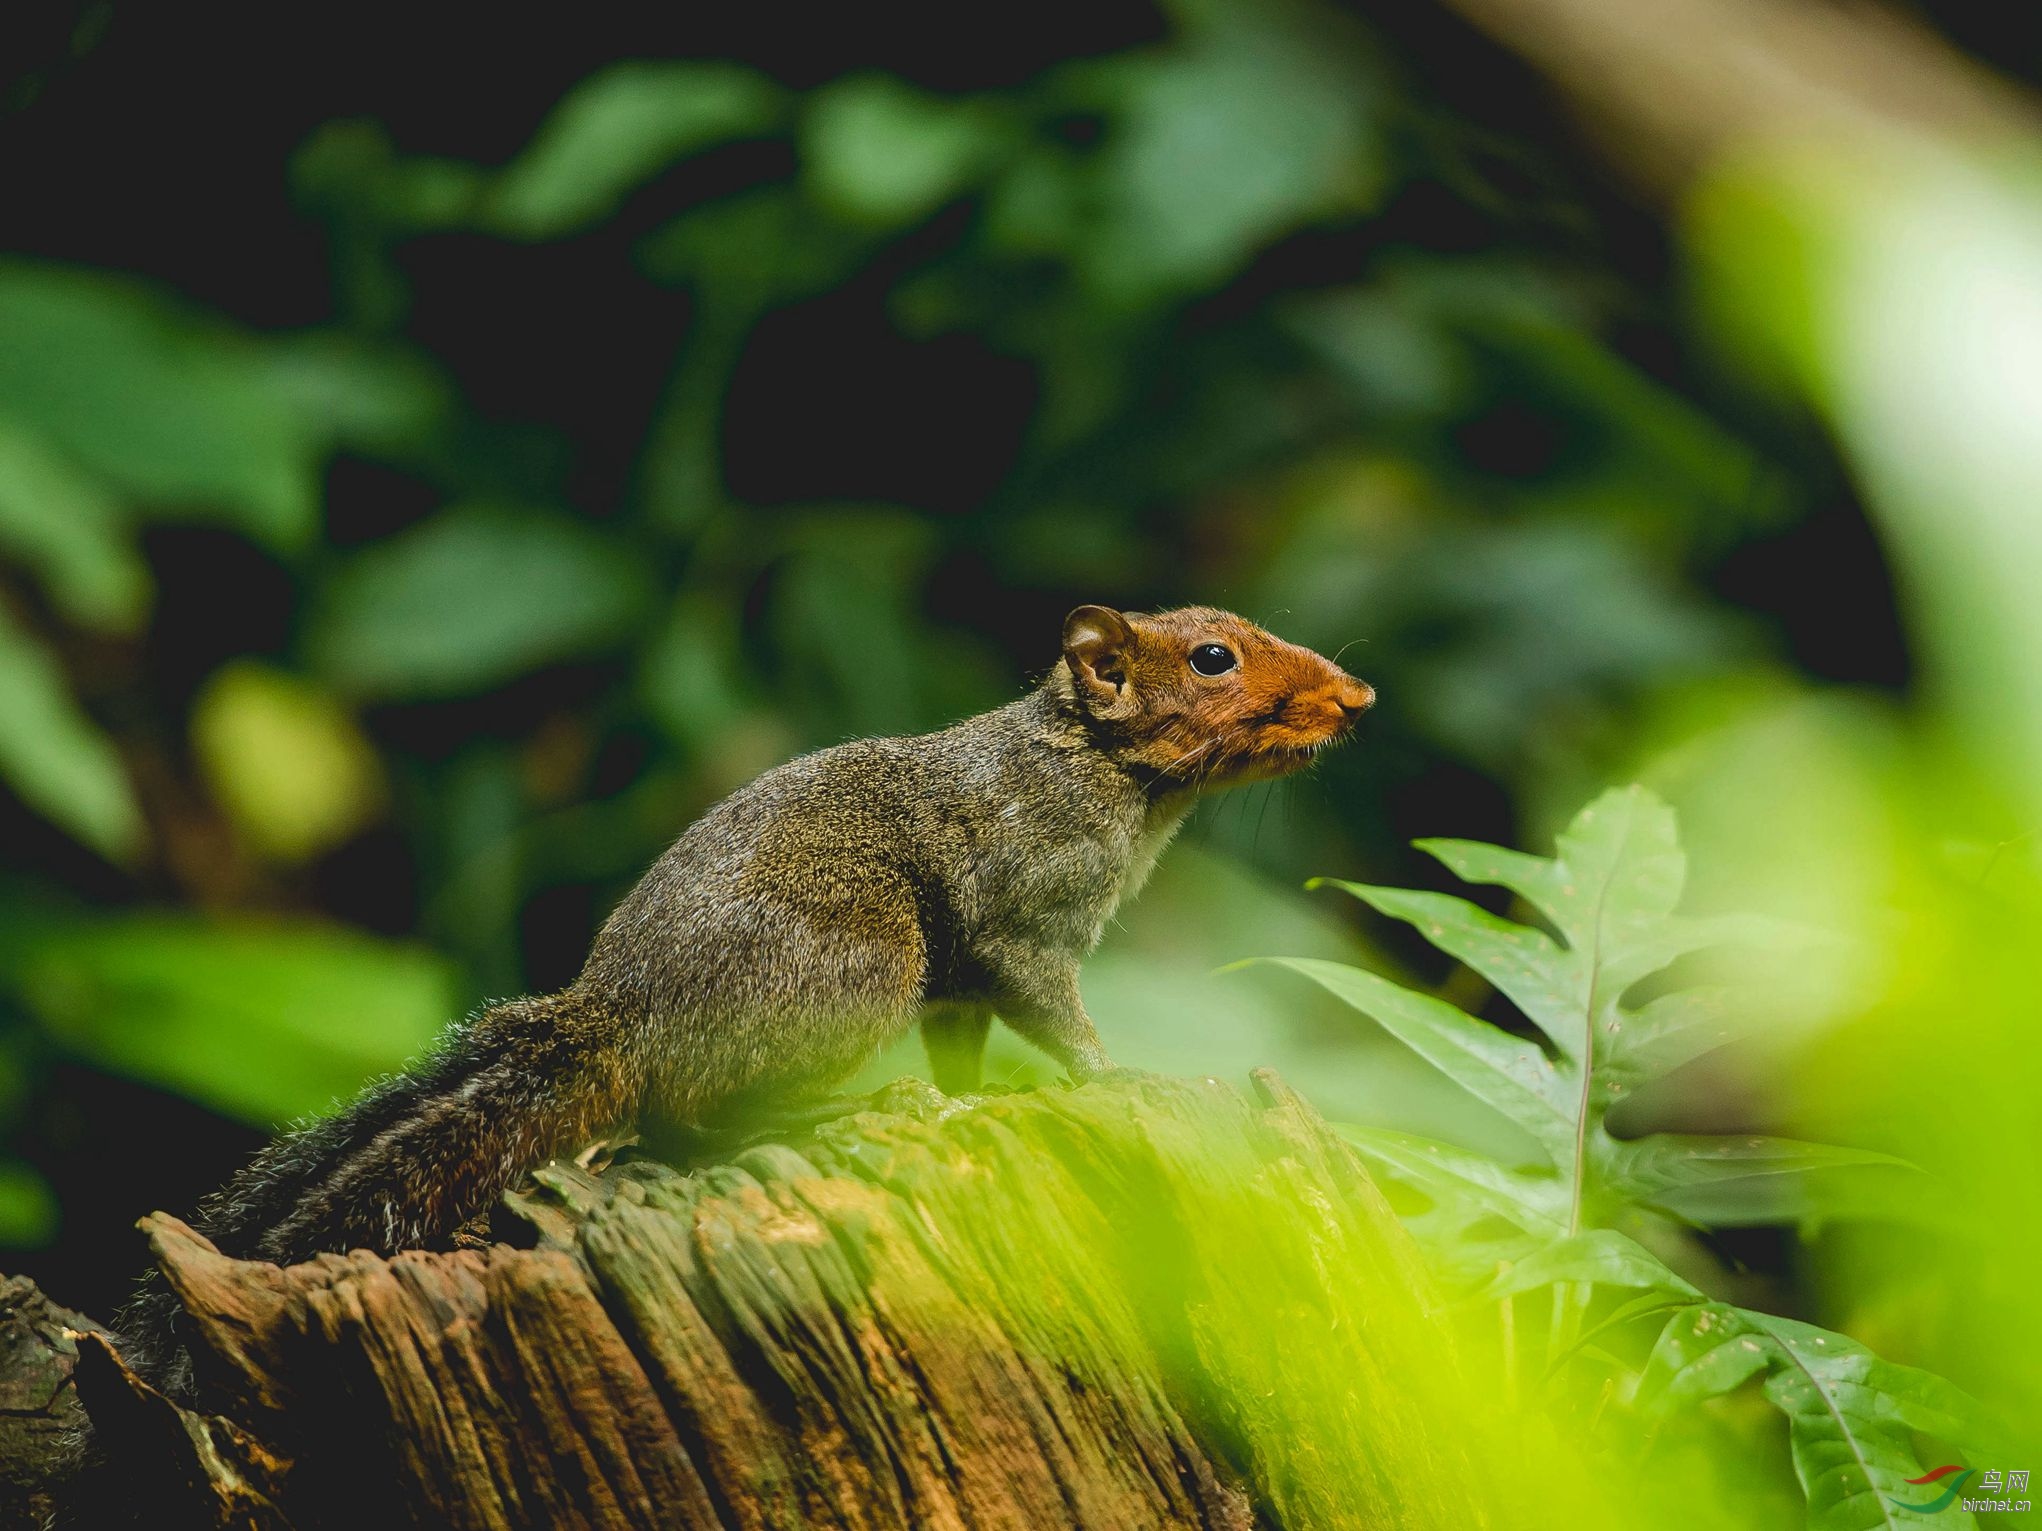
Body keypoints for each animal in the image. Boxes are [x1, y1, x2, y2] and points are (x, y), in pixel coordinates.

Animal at [123, 604, 1372, 1396]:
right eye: (1211, 656)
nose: (1354, 695)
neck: (1099, 769)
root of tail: (615, 1016)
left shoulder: (959, 983)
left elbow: (966, 1049)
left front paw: (972, 1101)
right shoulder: (1022, 921)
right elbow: (1055, 1015)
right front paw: (1117, 1074)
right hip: (860, 969)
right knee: (690, 1123)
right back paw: (828, 1111)